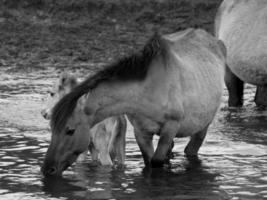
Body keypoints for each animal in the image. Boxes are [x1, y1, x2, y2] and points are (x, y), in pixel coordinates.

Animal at [41, 28, 226, 177]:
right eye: (52, 129)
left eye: (70, 130)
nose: (47, 169)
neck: (148, 91)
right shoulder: (141, 132)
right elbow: (149, 161)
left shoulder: (170, 128)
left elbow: (156, 162)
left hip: (203, 125)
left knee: (192, 148)